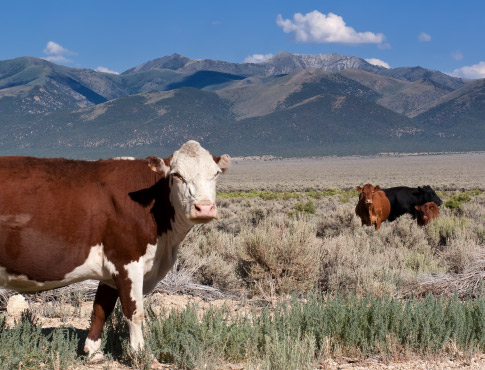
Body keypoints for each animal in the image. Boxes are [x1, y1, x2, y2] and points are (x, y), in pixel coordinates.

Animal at [0, 140, 230, 360]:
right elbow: (134, 311)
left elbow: (101, 308)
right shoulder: (127, 261)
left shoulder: (110, 270)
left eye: (216, 174)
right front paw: (141, 354)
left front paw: (93, 352)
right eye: (177, 175)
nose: (204, 208)